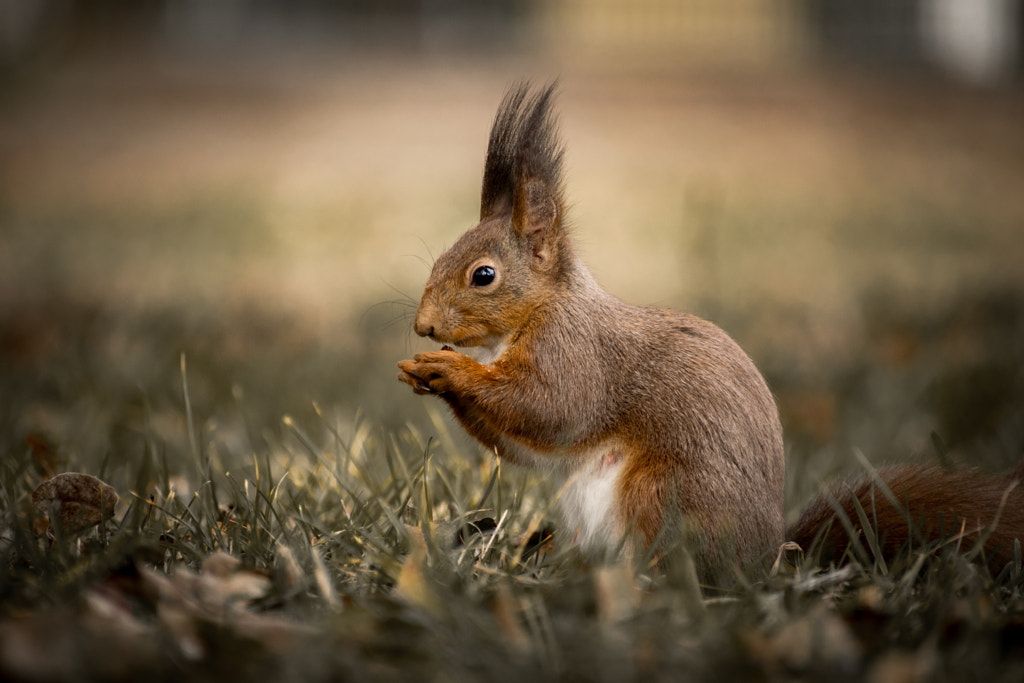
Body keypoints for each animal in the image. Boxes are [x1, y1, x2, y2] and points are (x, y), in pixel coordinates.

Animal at [397, 80, 1024, 581]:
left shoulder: (574, 354)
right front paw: (421, 373)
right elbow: (521, 442)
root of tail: (768, 560)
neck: (542, 311)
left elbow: (550, 408)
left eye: (484, 275)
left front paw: (448, 368)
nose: (423, 326)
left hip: (661, 494)